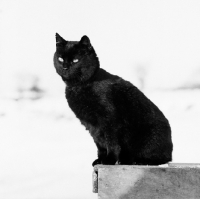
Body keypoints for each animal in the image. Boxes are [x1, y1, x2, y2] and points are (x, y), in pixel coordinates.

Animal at [53, 33, 173, 166]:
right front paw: (100, 160)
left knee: (162, 159)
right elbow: (99, 143)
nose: (65, 67)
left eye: (75, 60)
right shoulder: (90, 124)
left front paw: (109, 160)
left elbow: (111, 141)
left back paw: (136, 161)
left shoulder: (109, 119)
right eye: (60, 59)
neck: (81, 86)